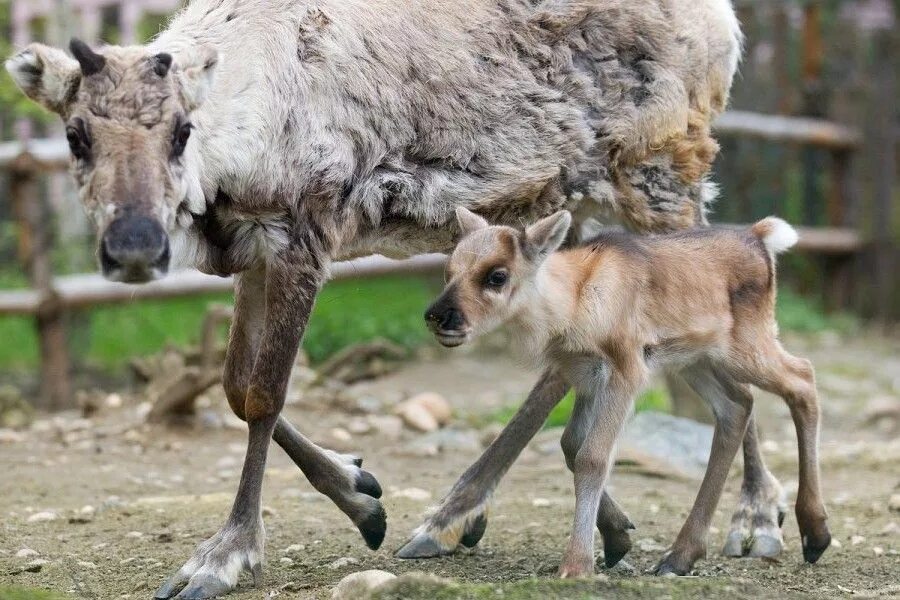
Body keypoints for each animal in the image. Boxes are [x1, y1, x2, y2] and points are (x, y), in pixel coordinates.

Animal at [422, 210, 828, 576]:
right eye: (448, 270)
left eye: (497, 275)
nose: (437, 316)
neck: (574, 302)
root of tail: (760, 237)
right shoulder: (587, 376)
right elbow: (572, 445)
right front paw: (617, 538)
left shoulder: (627, 368)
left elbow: (593, 456)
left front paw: (577, 565)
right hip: (694, 360)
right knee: (738, 405)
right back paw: (680, 557)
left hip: (746, 348)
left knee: (803, 377)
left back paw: (815, 533)